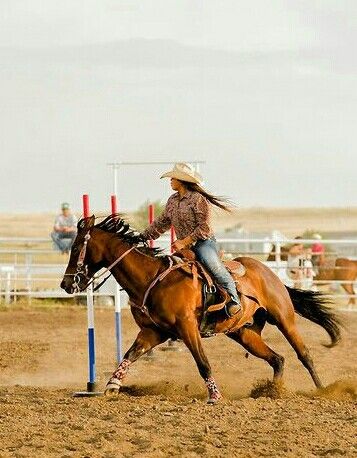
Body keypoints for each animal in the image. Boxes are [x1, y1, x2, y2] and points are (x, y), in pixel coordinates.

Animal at [62, 216, 342, 402]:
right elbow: (129, 355)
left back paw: (323, 390)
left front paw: (214, 396)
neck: (152, 279)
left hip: (284, 319)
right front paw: (112, 385)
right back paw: (272, 392)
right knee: (277, 359)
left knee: (304, 355)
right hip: (244, 333)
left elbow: (203, 363)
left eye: (76, 248)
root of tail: (269, 273)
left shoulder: (188, 328)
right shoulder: (152, 332)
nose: (65, 284)